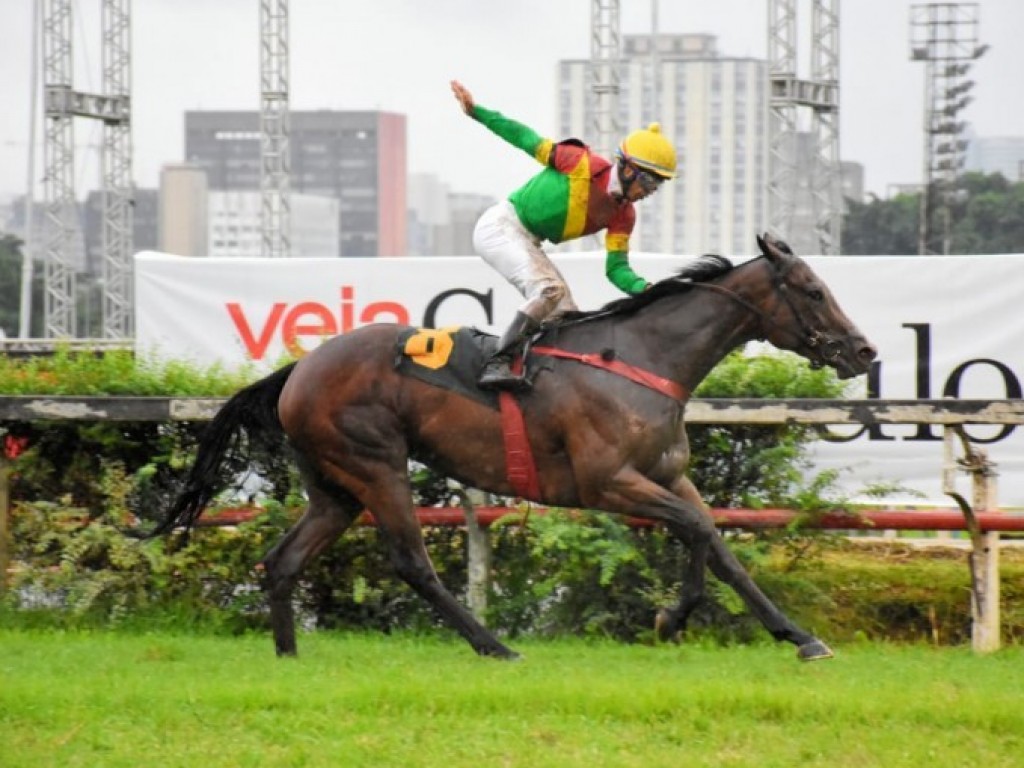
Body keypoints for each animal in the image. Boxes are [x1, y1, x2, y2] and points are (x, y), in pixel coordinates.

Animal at [149, 233, 872, 663]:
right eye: (814, 291)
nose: (864, 351)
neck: (643, 359)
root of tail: (298, 369)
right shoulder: (606, 481)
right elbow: (696, 532)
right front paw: (672, 617)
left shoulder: (668, 477)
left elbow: (719, 545)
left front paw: (800, 637)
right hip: (377, 465)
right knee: (411, 562)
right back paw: (494, 646)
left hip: (334, 488)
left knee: (283, 561)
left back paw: (290, 656)